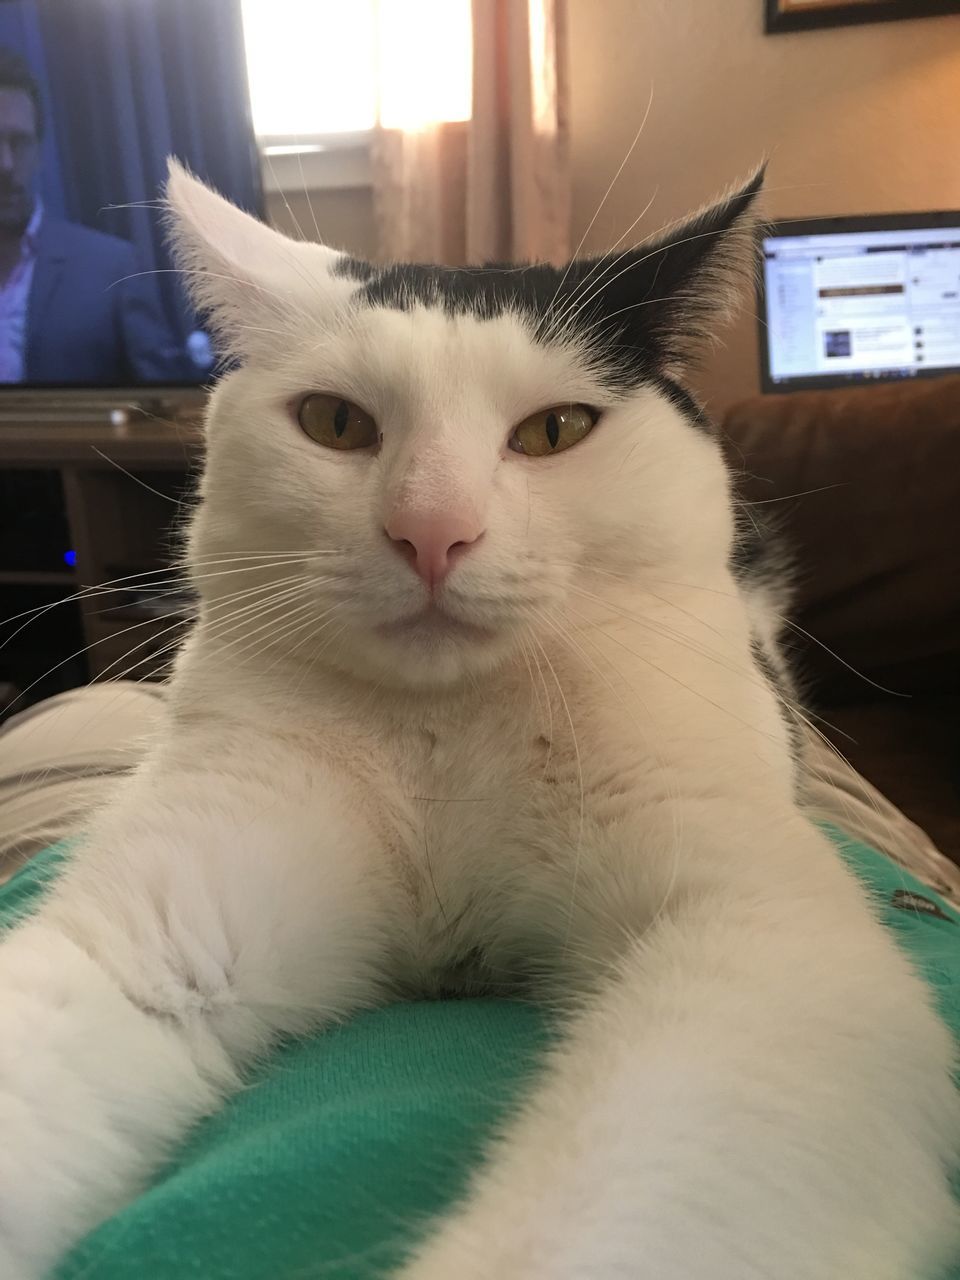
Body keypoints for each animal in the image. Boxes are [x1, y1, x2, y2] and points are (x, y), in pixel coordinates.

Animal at [1, 162, 960, 1280]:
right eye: (335, 423)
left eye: (555, 431)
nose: (431, 530)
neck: (444, 733)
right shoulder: (168, 905)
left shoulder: (754, 931)